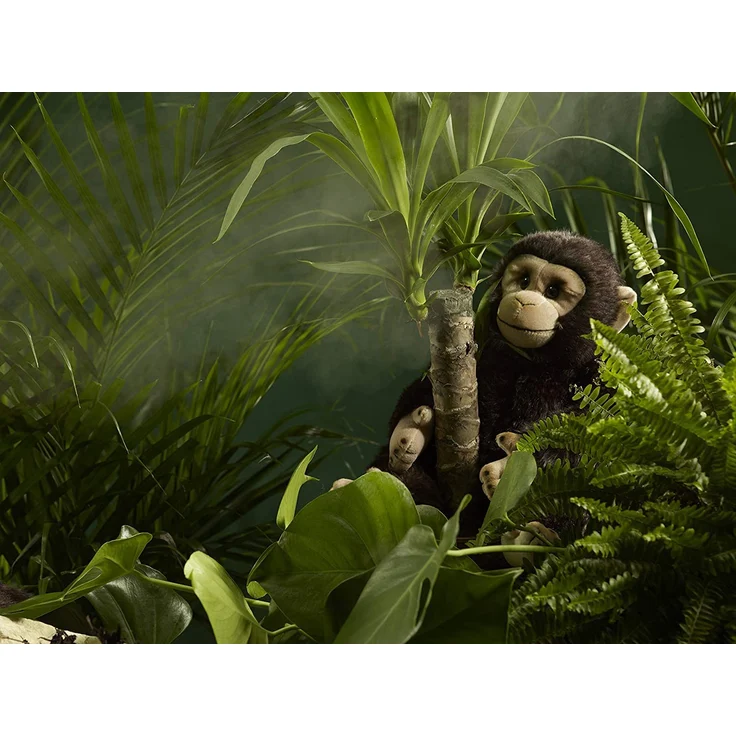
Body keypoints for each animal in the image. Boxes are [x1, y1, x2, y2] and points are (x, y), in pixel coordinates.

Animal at [334, 231, 636, 554]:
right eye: (524, 280)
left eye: (553, 291)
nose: (523, 300)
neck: (533, 362)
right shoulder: (484, 352)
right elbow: (425, 388)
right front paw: (411, 426)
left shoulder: (609, 375)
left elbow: (607, 443)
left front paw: (512, 467)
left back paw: (529, 540)